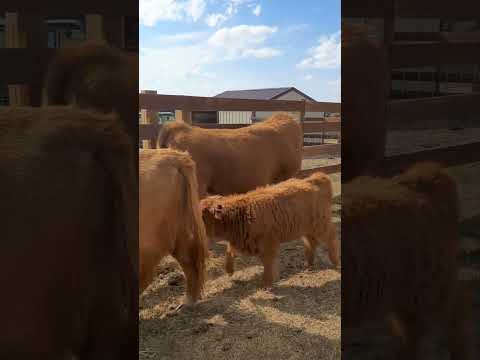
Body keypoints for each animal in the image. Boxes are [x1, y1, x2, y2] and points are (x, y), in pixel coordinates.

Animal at [201, 172, 340, 286]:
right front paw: (229, 271)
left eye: (201, 214)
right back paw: (308, 263)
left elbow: (268, 263)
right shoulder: (239, 240)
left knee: (331, 239)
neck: (242, 214)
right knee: (311, 242)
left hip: (321, 225)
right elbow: (229, 252)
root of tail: (316, 179)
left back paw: (335, 261)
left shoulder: (268, 243)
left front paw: (267, 283)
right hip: (306, 228)